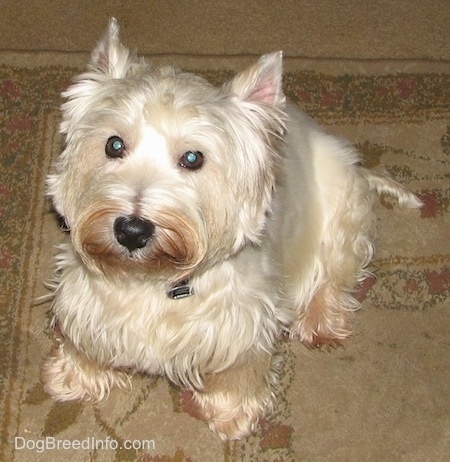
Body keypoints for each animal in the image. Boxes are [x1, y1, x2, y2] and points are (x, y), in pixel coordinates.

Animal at [42, 19, 422, 440]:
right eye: (113, 144)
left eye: (193, 157)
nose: (132, 230)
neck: (153, 280)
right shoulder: (85, 296)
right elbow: (82, 339)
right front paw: (73, 378)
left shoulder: (246, 324)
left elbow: (241, 371)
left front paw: (230, 415)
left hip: (343, 216)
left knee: (335, 278)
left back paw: (320, 322)